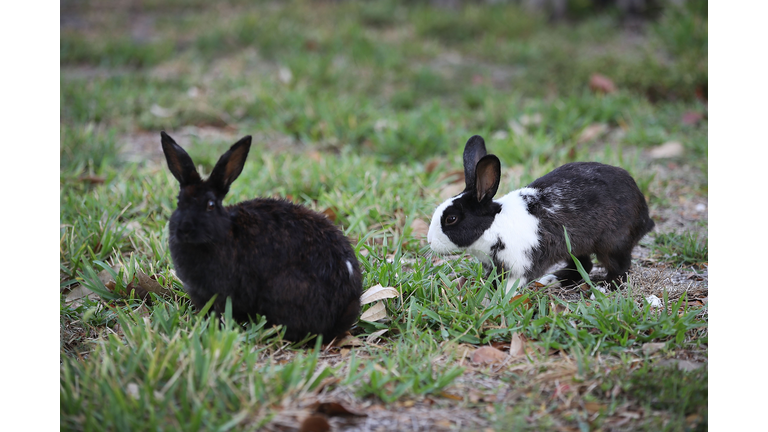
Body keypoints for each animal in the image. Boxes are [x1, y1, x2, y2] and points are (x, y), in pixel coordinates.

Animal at [426, 133, 656, 292]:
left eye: (451, 218)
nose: (429, 241)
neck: (493, 226)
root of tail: (644, 215)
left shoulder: (521, 265)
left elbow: (511, 285)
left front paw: (499, 299)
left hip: (612, 244)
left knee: (620, 268)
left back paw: (604, 287)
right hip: (574, 245)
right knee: (584, 264)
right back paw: (551, 280)